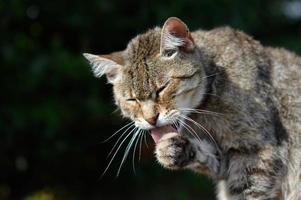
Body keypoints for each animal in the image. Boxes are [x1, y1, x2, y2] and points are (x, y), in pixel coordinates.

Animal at [83, 17, 300, 200]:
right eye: (132, 99)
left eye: (162, 88)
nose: (151, 119)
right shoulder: (225, 162)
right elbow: (206, 156)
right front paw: (170, 150)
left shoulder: (258, 151)